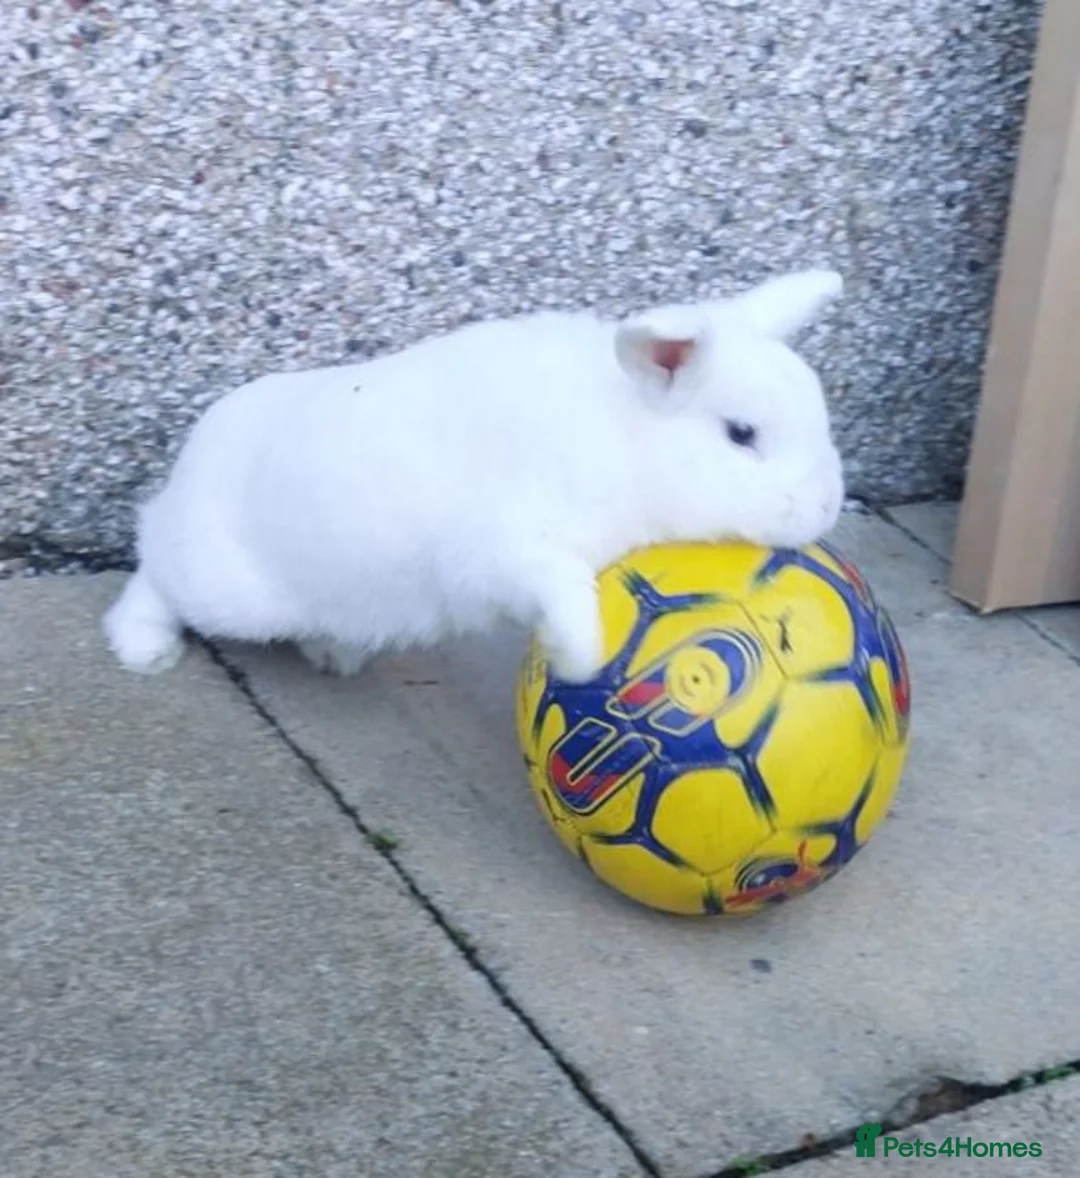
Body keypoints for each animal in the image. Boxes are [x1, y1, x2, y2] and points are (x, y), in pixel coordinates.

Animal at [103, 267, 846, 684]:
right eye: (741, 434)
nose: (825, 509)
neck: (627, 436)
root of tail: (194, 463)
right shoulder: (509, 551)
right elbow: (564, 589)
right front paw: (579, 658)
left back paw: (335, 652)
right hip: (227, 586)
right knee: (154, 564)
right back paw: (145, 648)